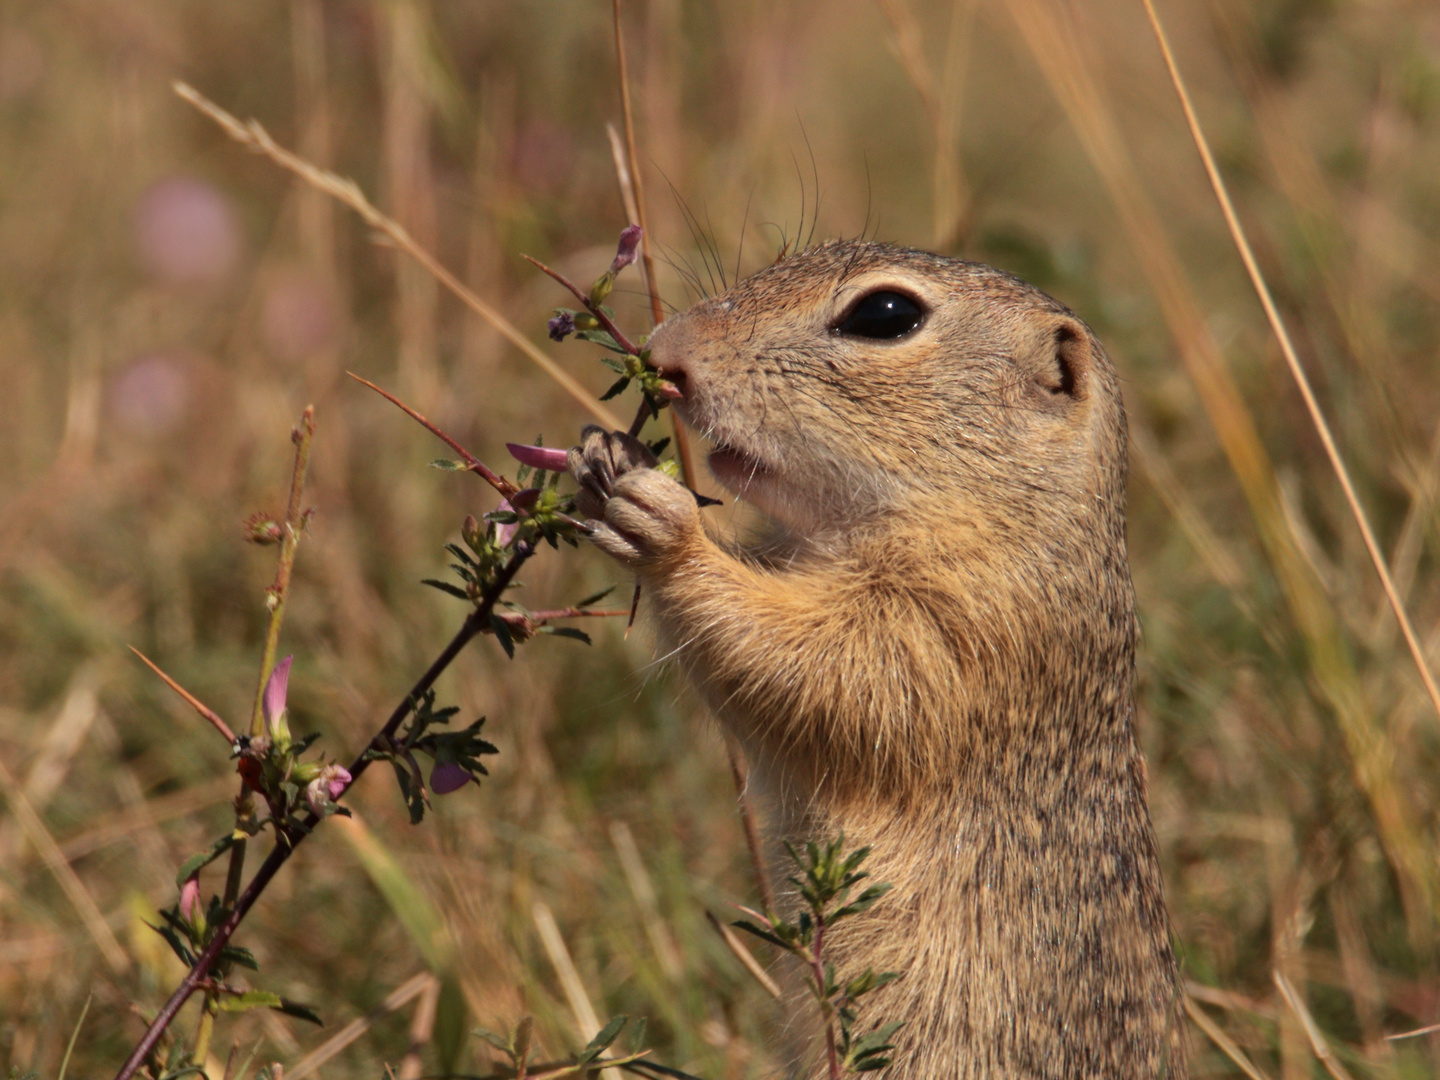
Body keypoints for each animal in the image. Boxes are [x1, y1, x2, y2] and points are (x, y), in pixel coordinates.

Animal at [567, 244, 1186, 1080]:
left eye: (884, 315)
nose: (664, 354)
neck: (1010, 508)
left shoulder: (954, 626)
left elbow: (829, 676)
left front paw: (665, 526)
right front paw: (608, 452)